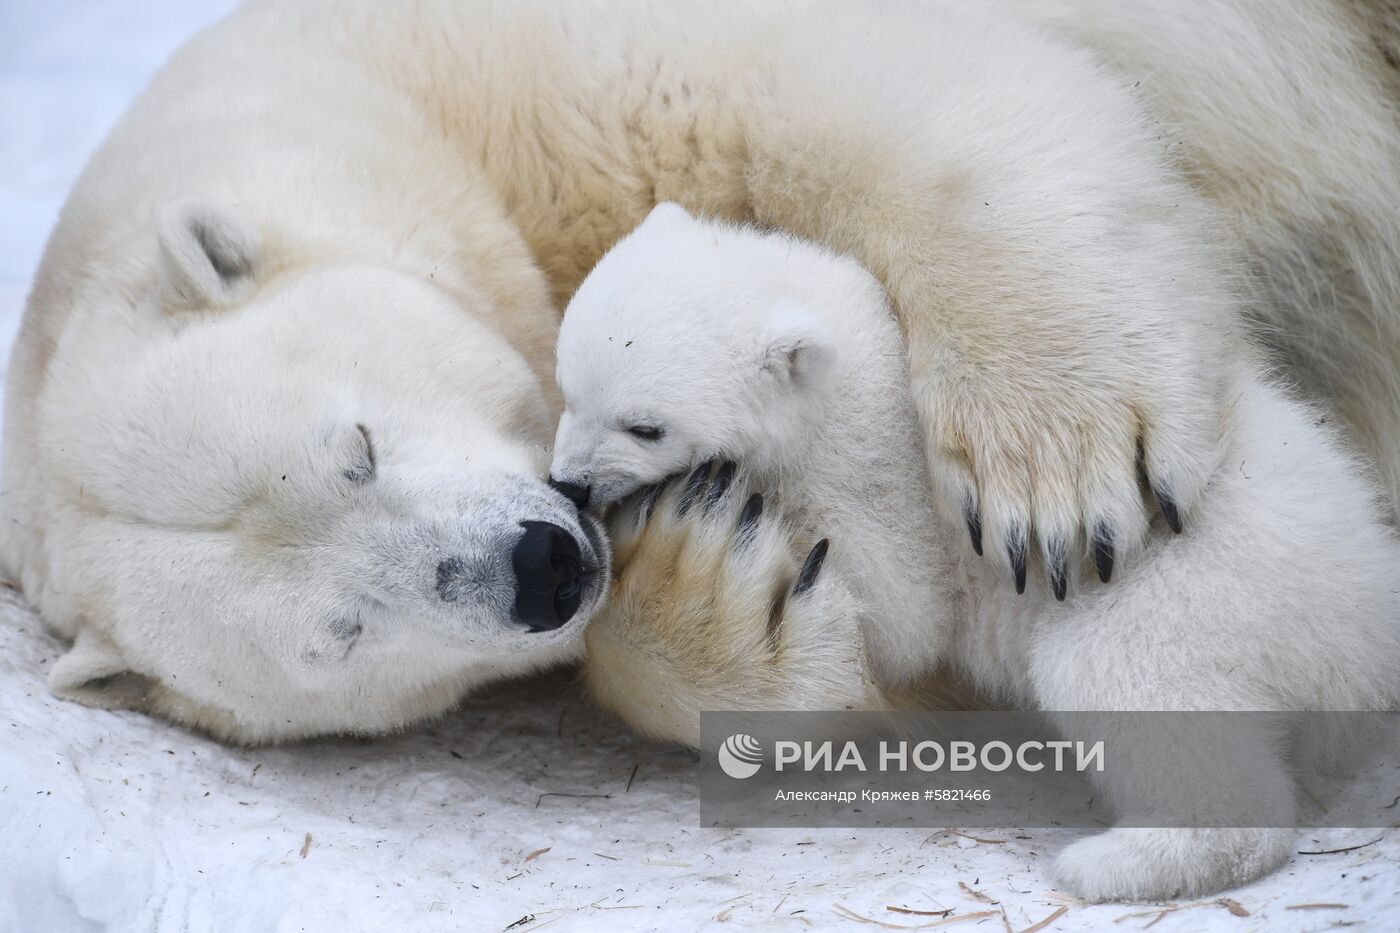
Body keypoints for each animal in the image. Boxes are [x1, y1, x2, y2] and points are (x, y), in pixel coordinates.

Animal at [2, 0, 1400, 739]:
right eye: (334, 635)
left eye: (355, 443)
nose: (540, 566)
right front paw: (726, 574)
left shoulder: (541, 71)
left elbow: (889, 93)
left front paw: (1055, 478)